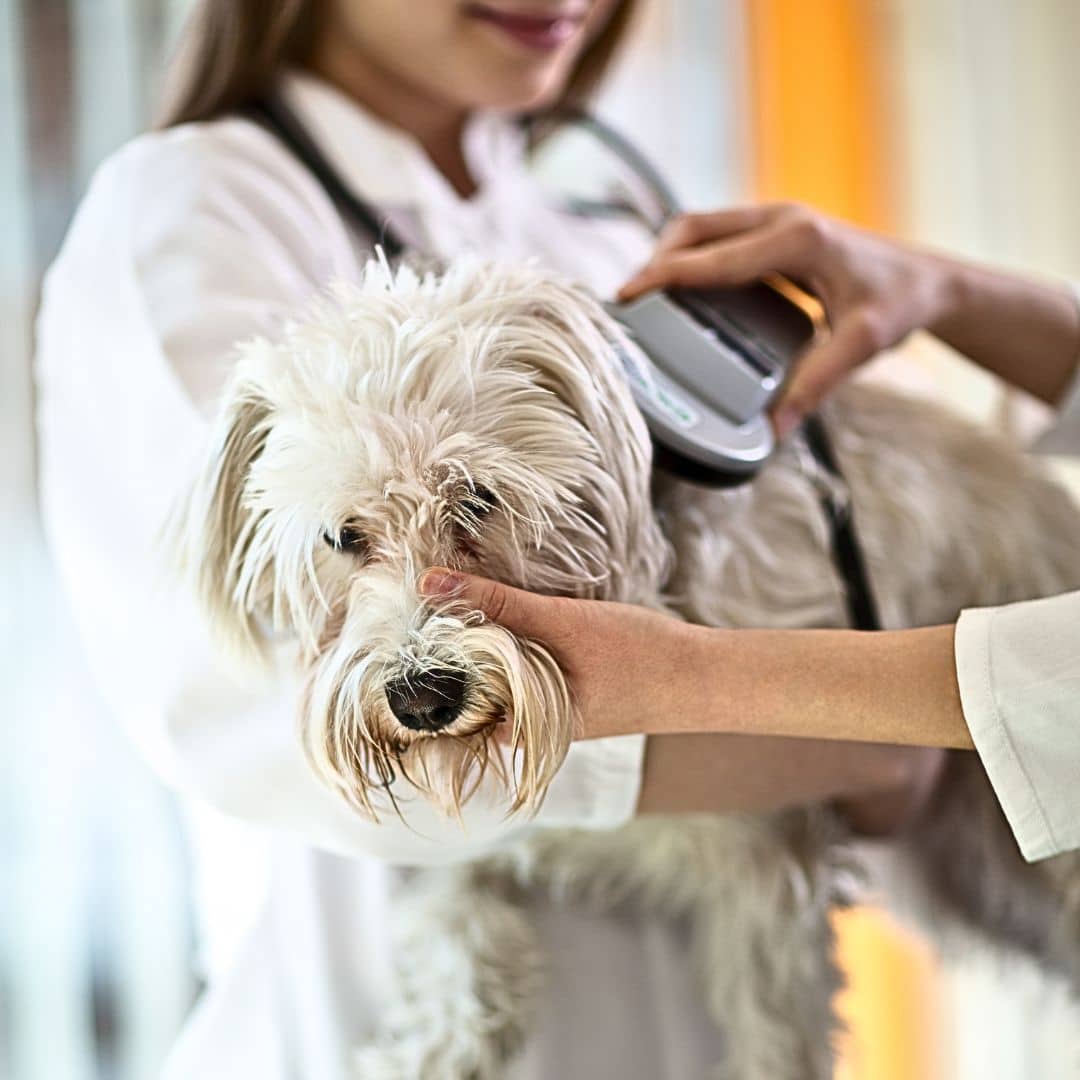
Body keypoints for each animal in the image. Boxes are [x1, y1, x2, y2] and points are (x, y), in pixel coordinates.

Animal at [177, 257, 1080, 1075]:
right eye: (343, 535)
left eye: (477, 499)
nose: (423, 695)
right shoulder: (456, 847)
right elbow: (454, 934)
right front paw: (430, 1048)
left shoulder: (768, 867)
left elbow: (773, 1038)